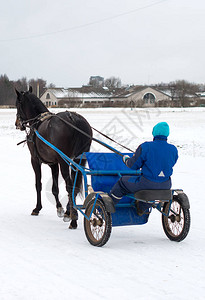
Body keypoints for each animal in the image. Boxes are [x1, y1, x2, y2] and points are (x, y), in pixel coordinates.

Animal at [14, 88, 91, 229]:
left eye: (17, 104)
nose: (17, 124)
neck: (37, 122)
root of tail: (74, 119)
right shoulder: (53, 163)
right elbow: (55, 188)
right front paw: (60, 208)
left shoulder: (35, 160)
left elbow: (38, 184)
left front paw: (37, 208)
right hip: (78, 159)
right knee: (74, 186)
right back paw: (69, 212)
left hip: (64, 161)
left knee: (70, 186)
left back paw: (73, 219)